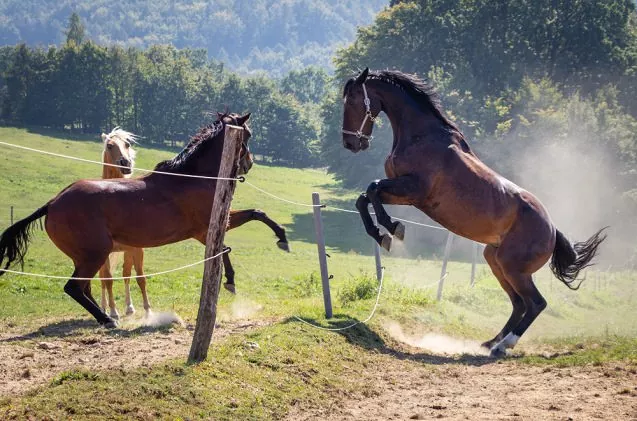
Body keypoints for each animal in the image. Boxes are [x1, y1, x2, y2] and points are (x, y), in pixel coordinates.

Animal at [0, 112, 253, 328]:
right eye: (248, 134)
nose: (249, 163)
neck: (192, 177)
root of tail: (53, 203)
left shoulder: (210, 229)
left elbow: (247, 222)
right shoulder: (207, 229)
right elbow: (233, 239)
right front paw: (231, 280)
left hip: (84, 257)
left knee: (85, 287)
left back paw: (105, 316)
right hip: (96, 253)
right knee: (74, 287)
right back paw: (107, 319)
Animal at [342, 68, 608, 354]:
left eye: (353, 100)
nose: (349, 143)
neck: (422, 137)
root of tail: (552, 230)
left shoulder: (414, 189)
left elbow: (372, 189)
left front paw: (393, 229)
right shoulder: (406, 194)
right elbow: (364, 198)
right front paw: (382, 234)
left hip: (513, 268)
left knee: (536, 303)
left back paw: (504, 345)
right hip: (496, 260)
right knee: (518, 304)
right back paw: (491, 341)